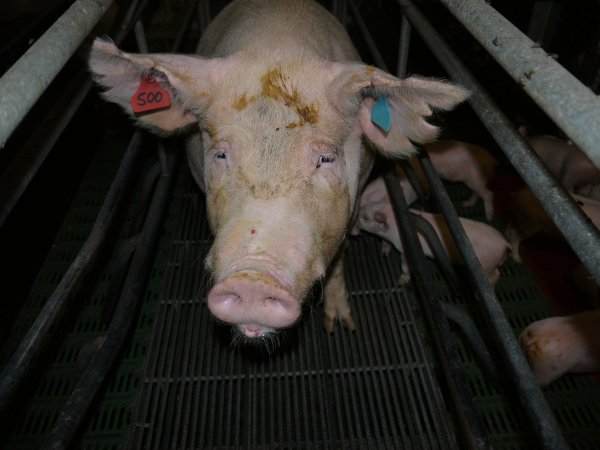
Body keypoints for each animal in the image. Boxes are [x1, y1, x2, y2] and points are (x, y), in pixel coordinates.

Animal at [88, 0, 468, 338]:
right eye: (221, 154)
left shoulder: (357, 192)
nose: (253, 280)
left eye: (326, 159)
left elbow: (339, 254)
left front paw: (340, 326)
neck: (277, 46)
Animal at [356, 200, 510, 284]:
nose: (354, 217)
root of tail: (503, 242)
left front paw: (400, 282)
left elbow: (405, 264)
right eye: (366, 205)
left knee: (496, 275)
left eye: (365, 218)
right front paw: (384, 253)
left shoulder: (404, 248)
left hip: (487, 264)